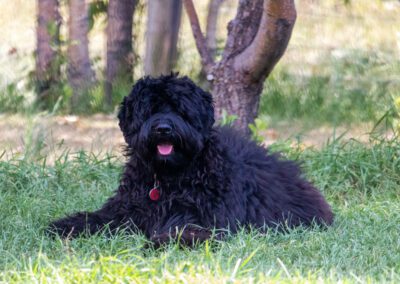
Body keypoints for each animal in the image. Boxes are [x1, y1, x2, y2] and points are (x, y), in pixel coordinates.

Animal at [48, 74, 332, 245]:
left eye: (179, 109)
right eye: (150, 109)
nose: (163, 128)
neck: (169, 178)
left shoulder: (205, 221)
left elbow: (180, 231)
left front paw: (156, 242)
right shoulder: (125, 209)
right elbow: (96, 218)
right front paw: (65, 225)